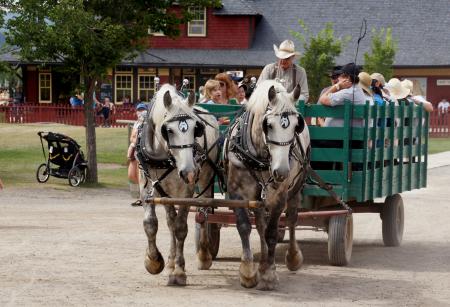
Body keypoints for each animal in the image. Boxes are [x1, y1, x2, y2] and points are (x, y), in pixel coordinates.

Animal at [139, 83, 220, 286]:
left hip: (206, 181)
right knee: (170, 221)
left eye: (195, 129)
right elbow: (151, 223)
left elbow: (181, 228)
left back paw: (204, 255)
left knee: (203, 215)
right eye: (169, 130)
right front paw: (154, 261)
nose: (189, 172)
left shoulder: (186, 191)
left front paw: (179, 271)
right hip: (166, 192)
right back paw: (170, 260)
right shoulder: (146, 187)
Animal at [225, 80, 310, 292]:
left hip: (295, 188)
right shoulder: (237, 194)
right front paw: (248, 271)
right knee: (260, 223)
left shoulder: (279, 197)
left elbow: (272, 233)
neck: (261, 158)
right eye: (268, 125)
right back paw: (262, 262)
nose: (281, 171)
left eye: (296, 126)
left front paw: (269, 275)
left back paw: (292, 257)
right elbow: (245, 226)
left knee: (292, 218)